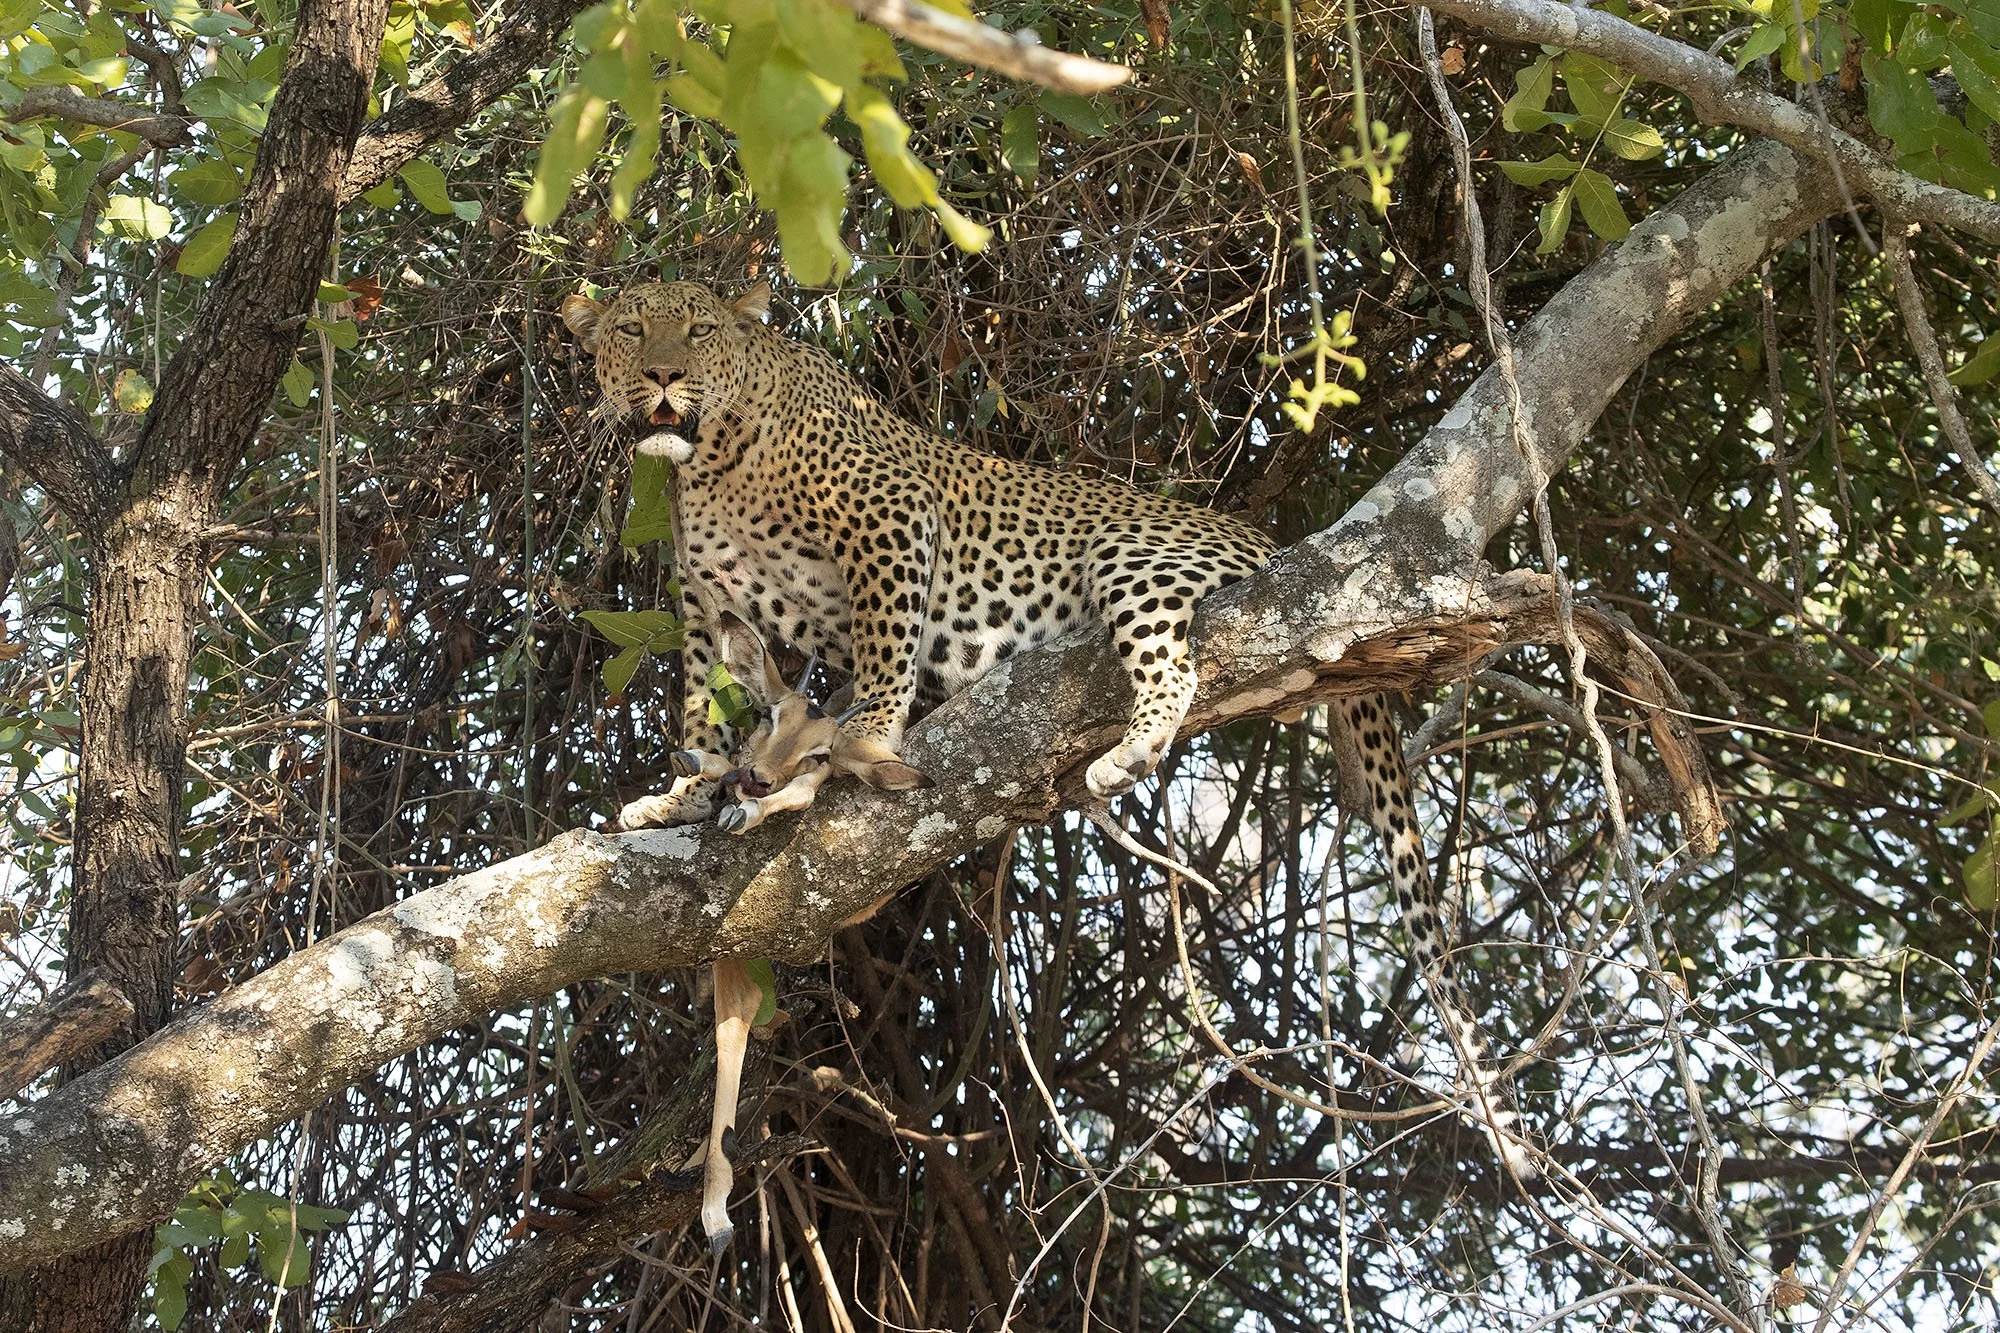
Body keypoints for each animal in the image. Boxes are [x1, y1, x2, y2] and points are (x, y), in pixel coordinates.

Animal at [562, 279, 1530, 1173]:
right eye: (629, 328)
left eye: (700, 330)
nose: (663, 373)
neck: (715, 458)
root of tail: (1275, 543)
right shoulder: (703, 604)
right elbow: (700, 700)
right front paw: (688, 792)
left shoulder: (890, 517)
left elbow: (883, 644)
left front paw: (868, 731)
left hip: (1134, 558)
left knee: (1173, 664)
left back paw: (1126, 751)